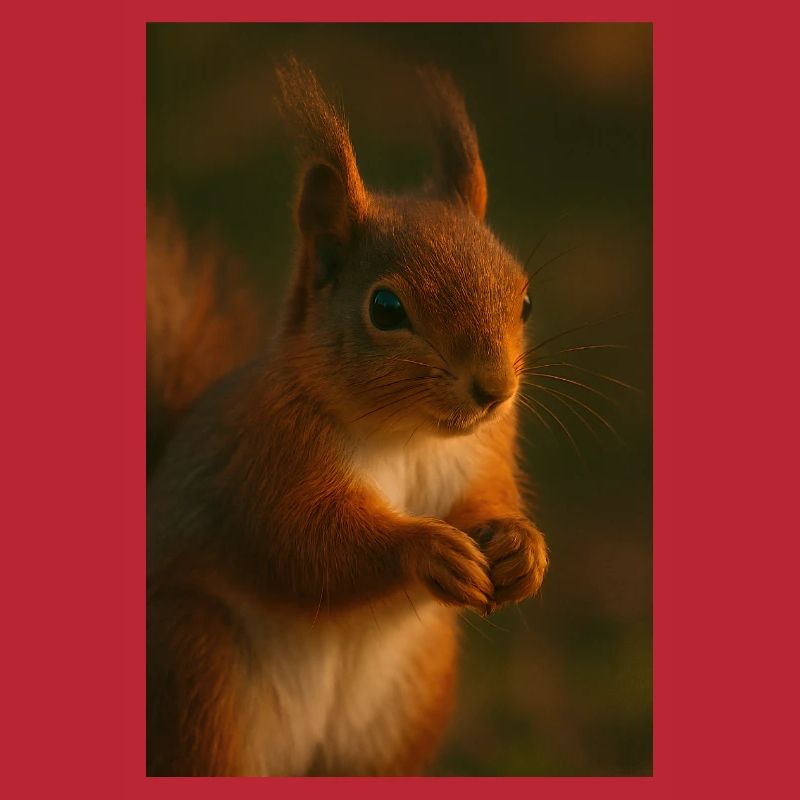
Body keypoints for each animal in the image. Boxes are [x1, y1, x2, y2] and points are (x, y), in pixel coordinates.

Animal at [146, 59, 549, 777]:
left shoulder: (485, 451)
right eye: (385, 309)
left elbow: (488, 498)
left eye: (524, 301)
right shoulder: (269, 460)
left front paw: (521, 547)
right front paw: (424, 548)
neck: (408, 436)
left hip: (402, 708)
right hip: (199, 676)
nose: (495, 391)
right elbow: (308, 544)